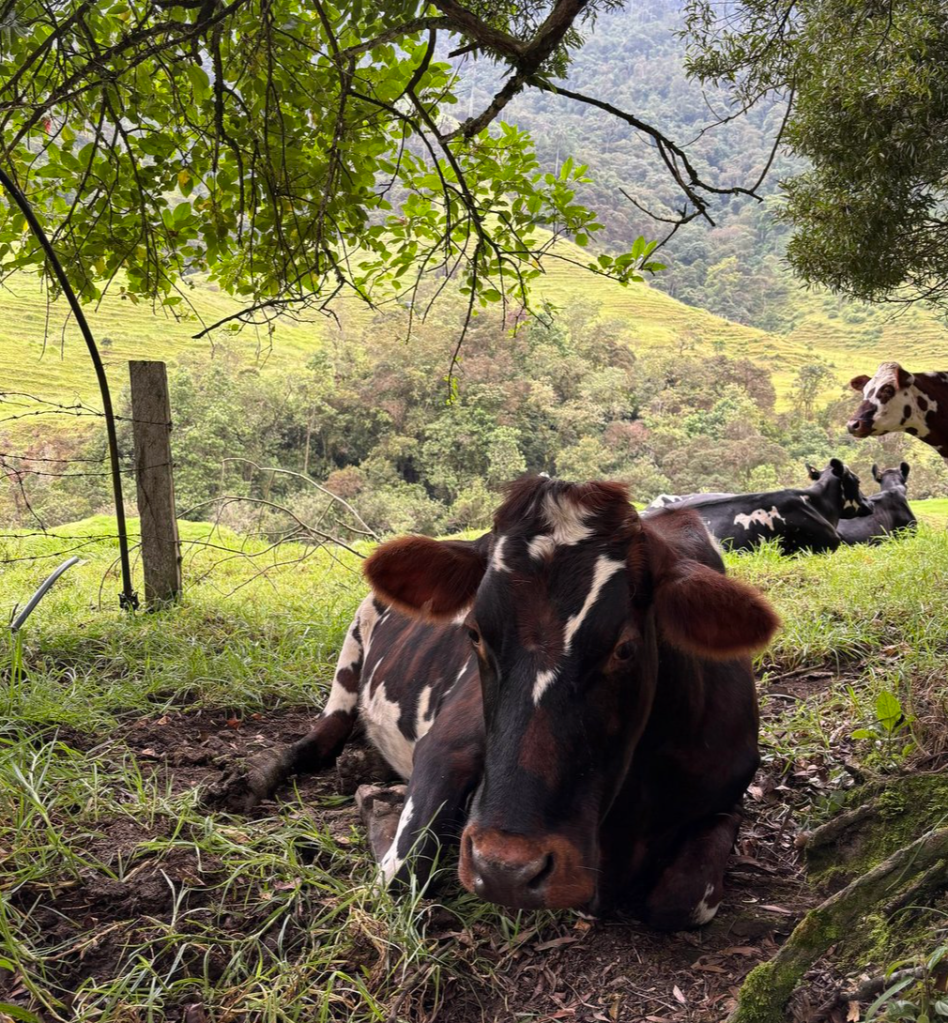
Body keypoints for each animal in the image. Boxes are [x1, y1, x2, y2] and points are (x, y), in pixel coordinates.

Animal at [214, 476, 779, 929]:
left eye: (624, 647)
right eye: (475, 633)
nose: (507, 869)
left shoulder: (729, 795)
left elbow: (683, 900)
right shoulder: (445, 745)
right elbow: (401, 870)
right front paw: (384, 815)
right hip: (350, 656)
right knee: (318, 741)